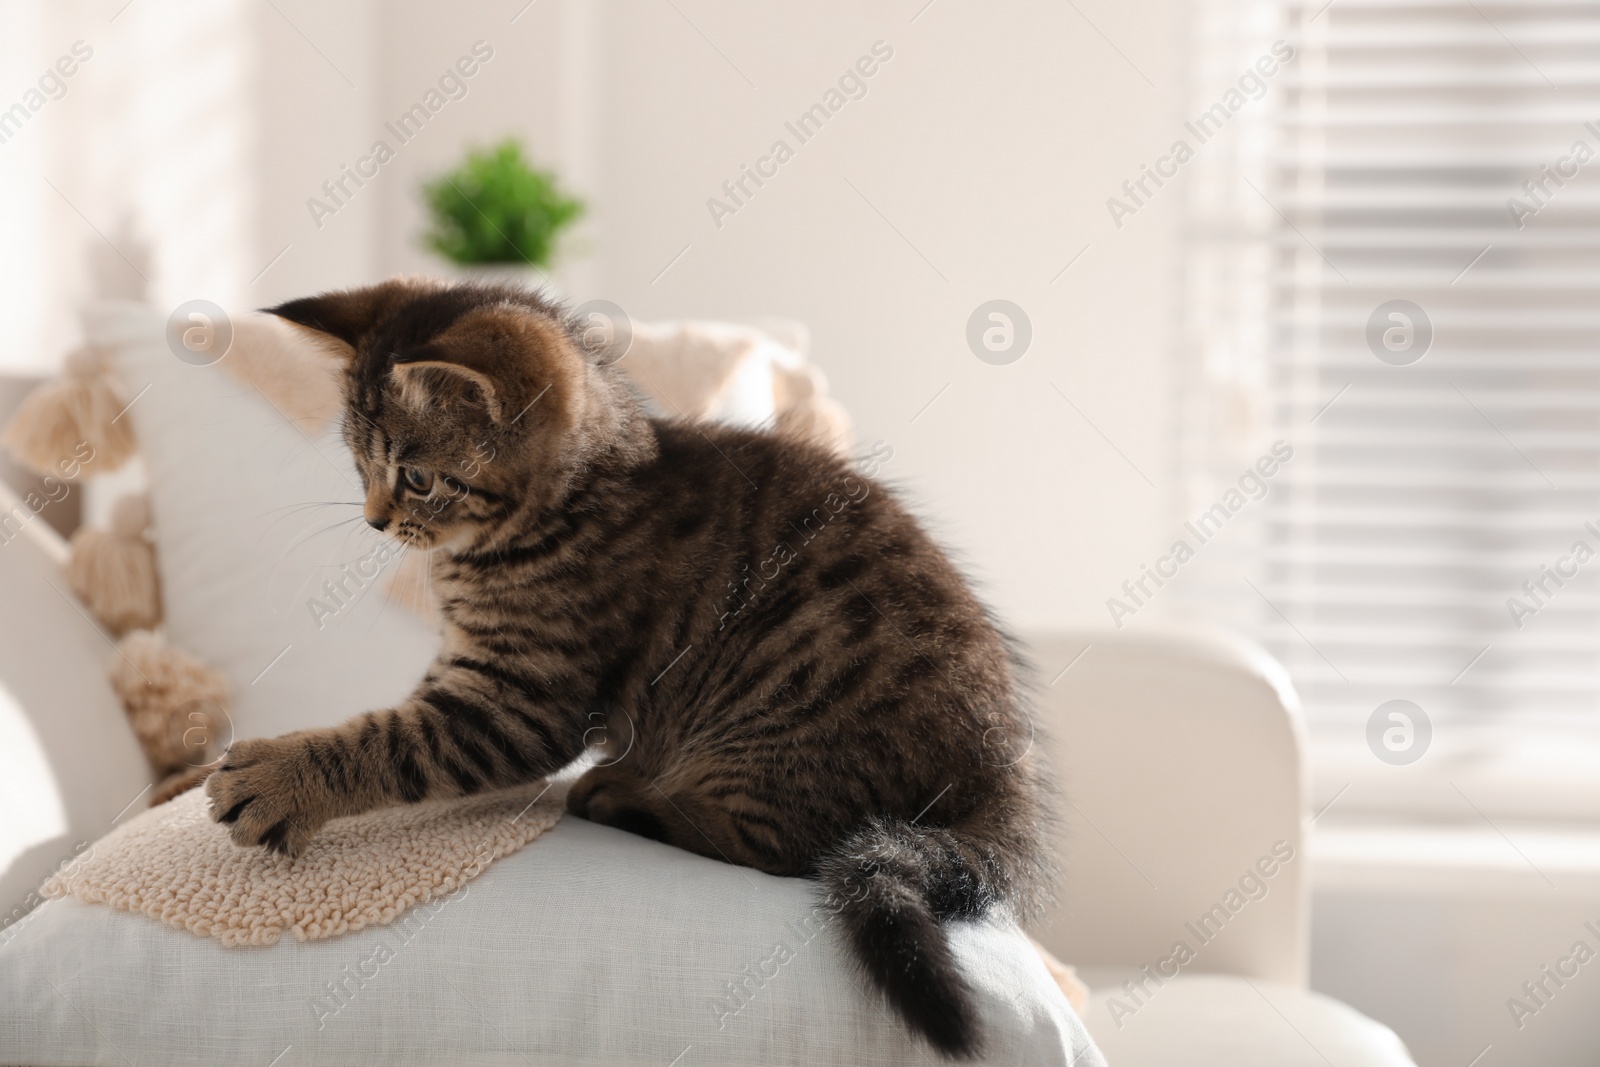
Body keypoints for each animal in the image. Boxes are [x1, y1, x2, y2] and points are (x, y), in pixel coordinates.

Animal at [206, 281, 1056, 1062]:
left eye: (416, 477)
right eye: (360, 467)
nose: (376, 520)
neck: (568, 504)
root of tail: (1004, 780)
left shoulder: (520, 702)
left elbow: (388, 739)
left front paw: (280, 775)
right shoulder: (466, 663)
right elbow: (396, 710)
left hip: (770, 734)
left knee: (788, 847)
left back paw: (625, 794)